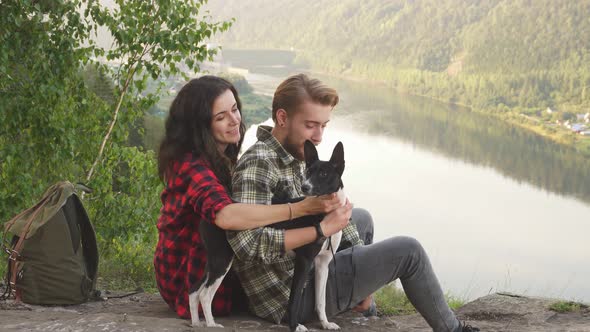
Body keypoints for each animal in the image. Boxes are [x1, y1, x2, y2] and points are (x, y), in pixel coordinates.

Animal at [190, 140, 346, 332]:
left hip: (214, 259)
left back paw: (196, 322)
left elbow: (321, 301)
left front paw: (325, 323)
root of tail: (211, 214)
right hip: (222, 259)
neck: (324, 213)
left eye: (324, 174)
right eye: (308, 172)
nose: (305, 187)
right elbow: (294, 299)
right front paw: (295, 326)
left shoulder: (323, 263)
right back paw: (211, 324)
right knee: (205, 294)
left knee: (194, 291)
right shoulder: (304, 260)